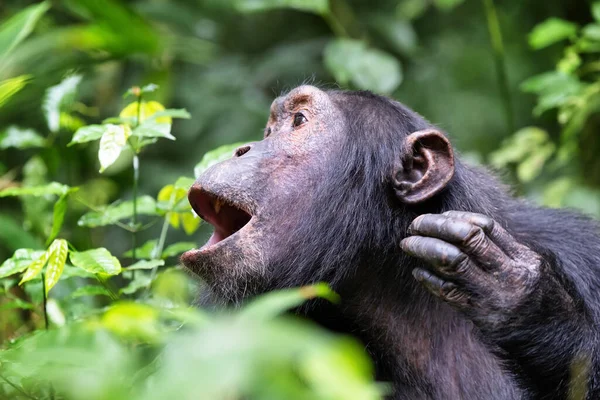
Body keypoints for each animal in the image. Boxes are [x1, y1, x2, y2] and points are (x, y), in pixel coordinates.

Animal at [182, 86, 600, 398]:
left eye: (298, 121)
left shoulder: (582, 251)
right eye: (269, 132)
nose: (242, 148)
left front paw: (520, 296)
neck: (391, 279)